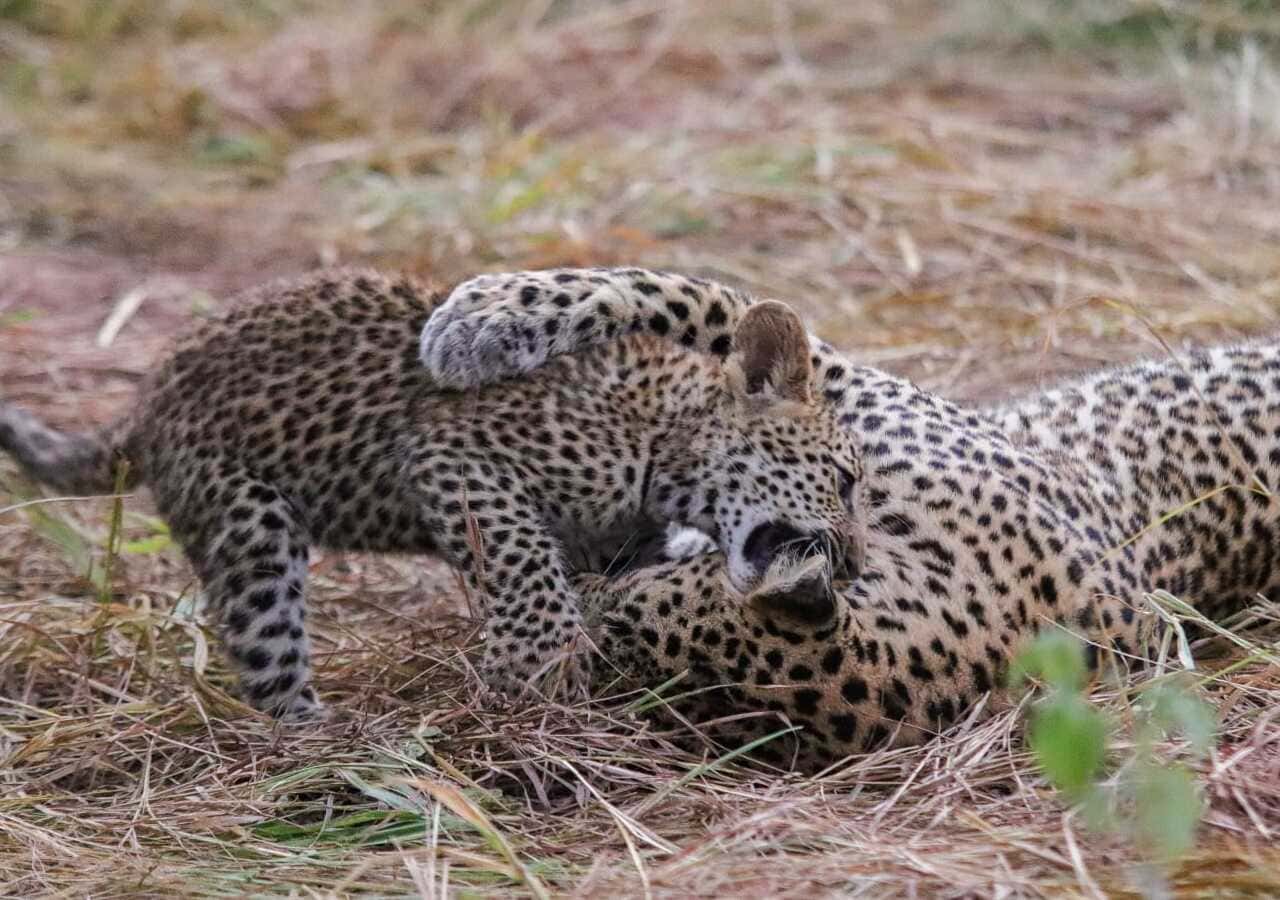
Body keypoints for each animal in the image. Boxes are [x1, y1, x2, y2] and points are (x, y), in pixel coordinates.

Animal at [0, 268, 865, 720]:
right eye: (849, 480)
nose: (854, 566)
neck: (671, 442)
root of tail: (148, 399)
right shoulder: (456, 455)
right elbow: (525, 564)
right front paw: (536, 671)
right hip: (250, 521)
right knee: (266, 650)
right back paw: (320, 741)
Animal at [424, 267, 1280, 769]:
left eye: (619, 622)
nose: (590, 587)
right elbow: (697, 298)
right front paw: (488, 315)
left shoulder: (855, 397)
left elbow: (699, 295)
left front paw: (483, 319)